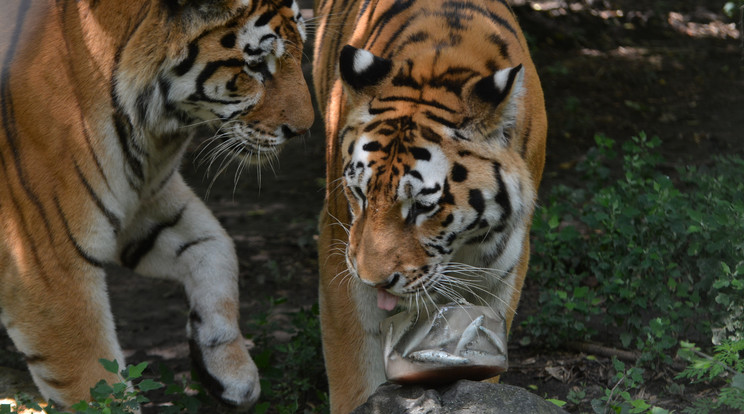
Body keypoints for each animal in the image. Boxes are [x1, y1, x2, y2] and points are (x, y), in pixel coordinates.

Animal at [0, 0, 314, 410]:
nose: (305, 129)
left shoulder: (144, 200)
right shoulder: (45, 260)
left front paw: (229, 371)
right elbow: (96, 385)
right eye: (257, 65)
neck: (151, 130)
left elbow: (216, 248)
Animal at [310, 0, 548, 410]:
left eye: (422, 207)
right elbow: (354, 368)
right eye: (360, 195)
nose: (374, 280)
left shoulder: (504, 268)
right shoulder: (338, 250)